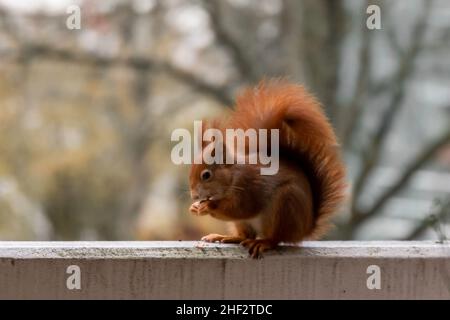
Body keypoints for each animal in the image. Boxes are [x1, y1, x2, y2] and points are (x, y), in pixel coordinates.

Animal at [188, 79, 346, 258]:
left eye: (206, 175)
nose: (194, 196)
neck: (233, 176)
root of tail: (305, 228)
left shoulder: (249, 189)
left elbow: (240, 209)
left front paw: (207, 206)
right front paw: (195, 207)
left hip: (284, 206)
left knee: (275, 238)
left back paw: (262, 242)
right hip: (245, 222)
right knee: (245, 235)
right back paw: (226, 237)